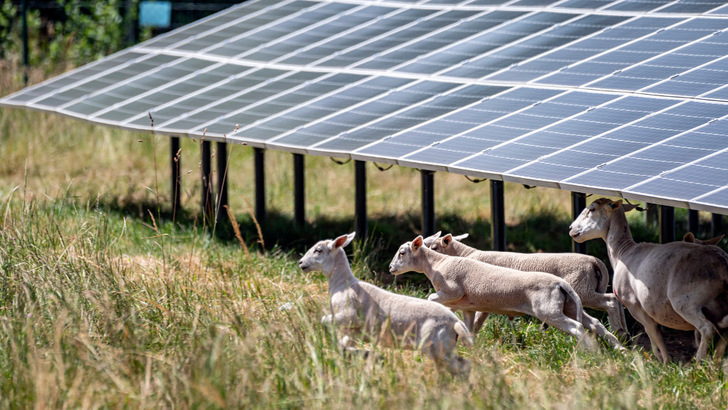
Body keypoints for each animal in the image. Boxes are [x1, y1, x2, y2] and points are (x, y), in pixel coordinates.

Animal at [298, 232, 474, 376]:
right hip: (444, 347)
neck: (342, 284)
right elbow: (344, 344)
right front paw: (361, 354)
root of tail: (456, 323)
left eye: (318, 250)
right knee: (463, 365)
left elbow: (324, 321)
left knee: (458, 367)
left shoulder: (349, 316)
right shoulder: (355, 331)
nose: (300, 263)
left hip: (436, 346)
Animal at [424, 232, 628, 338]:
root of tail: (595, 261)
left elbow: (475, 320)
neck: (466, 255)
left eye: (434, 247)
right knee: (613, 302)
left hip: (583, 291)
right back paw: (623, 336)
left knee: (610, 301)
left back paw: (618, 331)